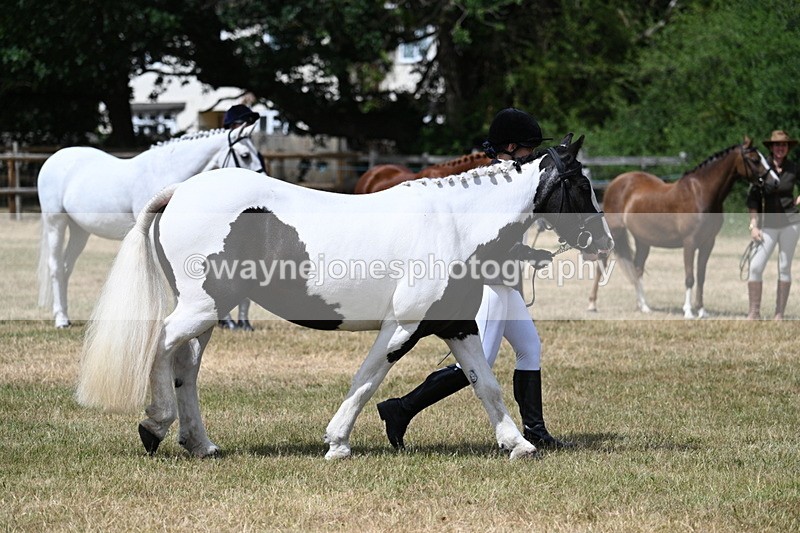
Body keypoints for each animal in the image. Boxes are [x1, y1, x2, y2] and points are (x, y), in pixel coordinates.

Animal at [36, 123, 265, 328]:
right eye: (245, 155)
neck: (166, 172)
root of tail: (54, 159)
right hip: (56, 223)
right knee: (55, 267)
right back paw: (61, 320)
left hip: (80, 231)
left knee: (66, 268)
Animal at [587, 137, 779, 318]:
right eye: (755, 159)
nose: (775, 182)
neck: (701, 193)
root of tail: (615, 183)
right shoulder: (690, 243)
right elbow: (689, 278)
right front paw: (688, 311)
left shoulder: (708, 243)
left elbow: (701, 277)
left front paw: (701, 310)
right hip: (613, 233)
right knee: (601, 265)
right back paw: (592, 305)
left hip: (643, 240)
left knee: (637, 269)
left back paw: (643, 306)